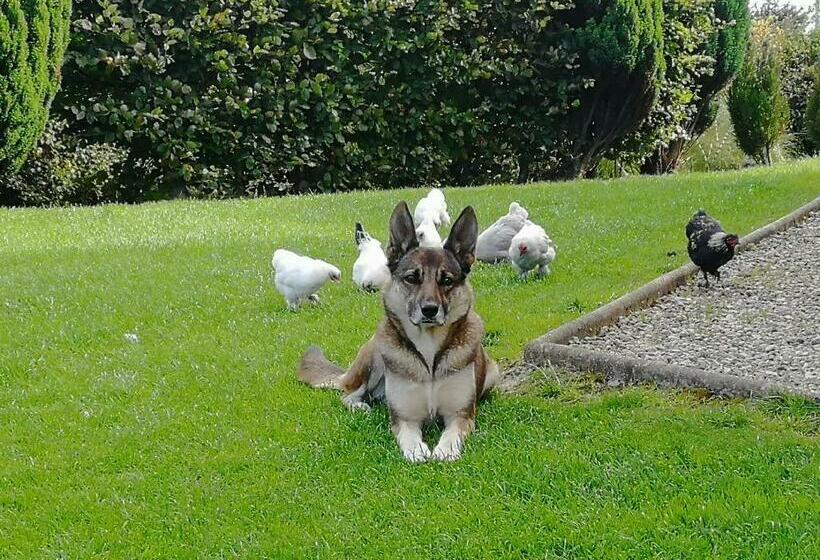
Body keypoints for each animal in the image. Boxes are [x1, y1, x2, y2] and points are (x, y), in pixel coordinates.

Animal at [297, 202, 498, 462]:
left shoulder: (461, 415)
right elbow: (409, 437)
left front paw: (445, 450)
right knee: (348, 394)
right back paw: (361, 405)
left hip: (493, 373)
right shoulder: (405, 418)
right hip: (374, 356)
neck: (428, 354)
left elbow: (451, 434)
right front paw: (416, 450)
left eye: (447, 280)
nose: (430, 310)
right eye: (412, 278)